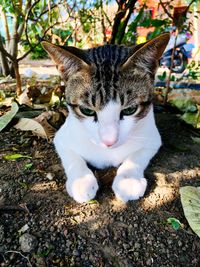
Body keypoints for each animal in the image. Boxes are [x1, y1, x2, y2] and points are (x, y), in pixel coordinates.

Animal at [41, 34, 170, 205]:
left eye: (130, 110)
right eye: (87, 111)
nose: (109, 141)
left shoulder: (152, 138)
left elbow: (138, 155)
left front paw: (128, 179)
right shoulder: (62, 138)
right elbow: (72, 157)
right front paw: (81, 181)